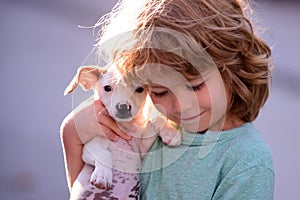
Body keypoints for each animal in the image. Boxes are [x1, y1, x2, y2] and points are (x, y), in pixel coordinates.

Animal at [63, 65, 180, 199]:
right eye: (107, 88)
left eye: (139, 89)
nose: (123, 107)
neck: (126, 127)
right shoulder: (90, 147)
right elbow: (104, 154)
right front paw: (102, 176)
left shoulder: (144, 148)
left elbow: (156, 118)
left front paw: (171, 133)